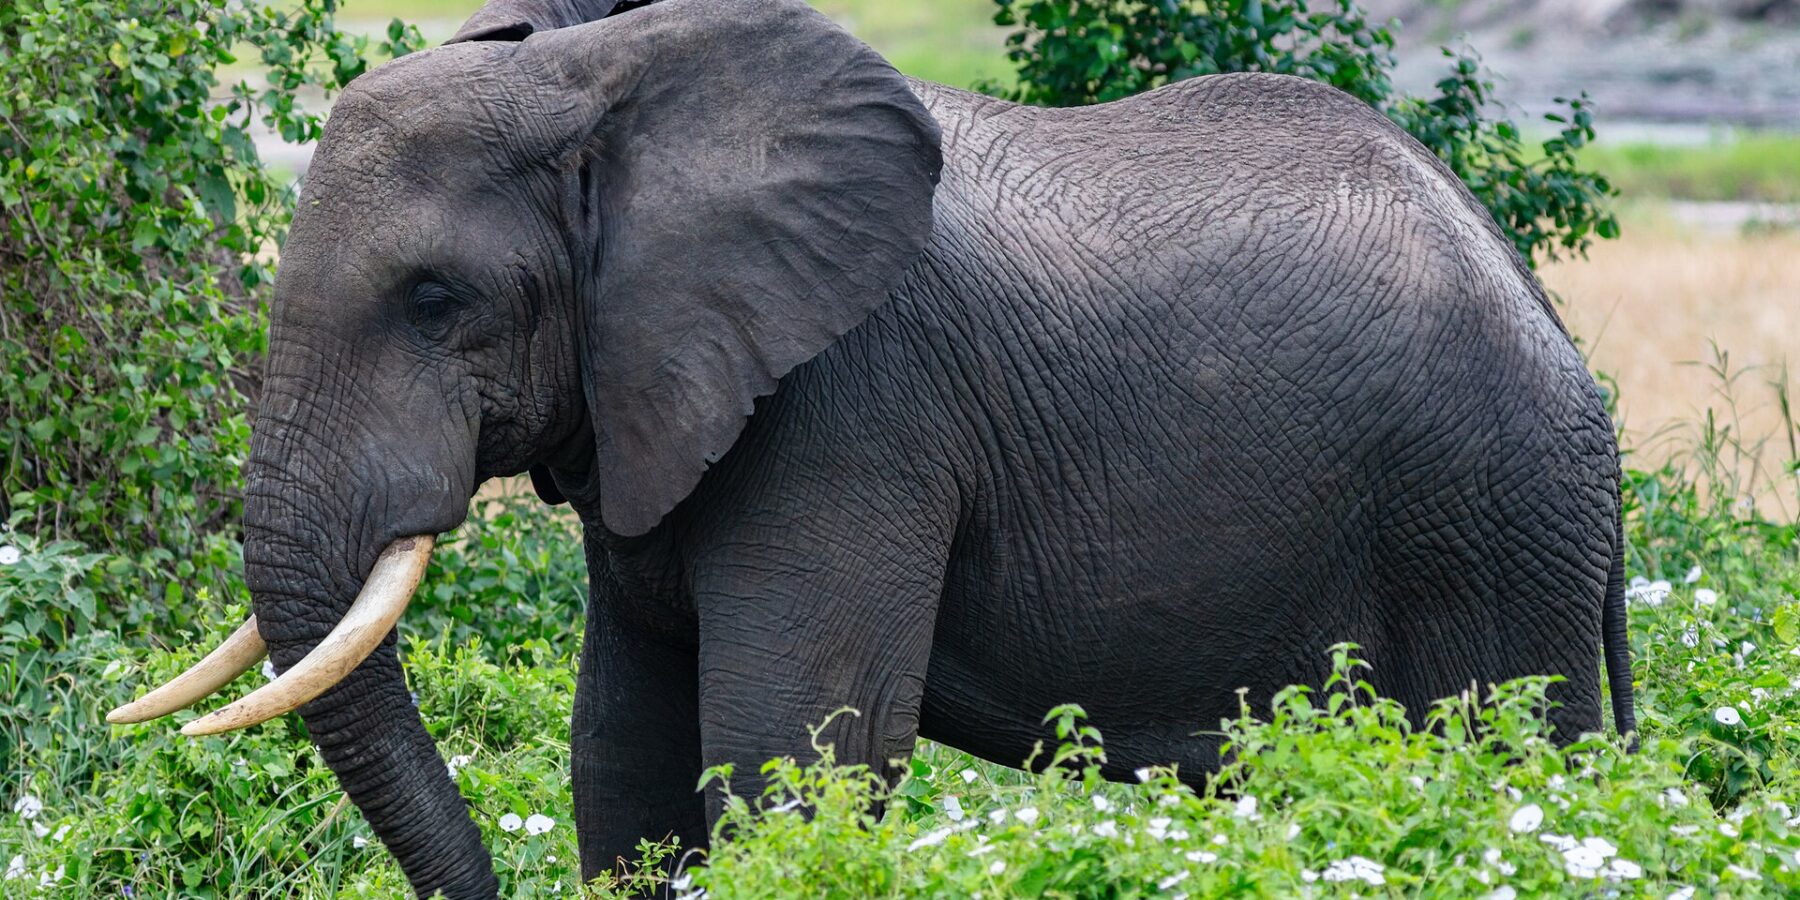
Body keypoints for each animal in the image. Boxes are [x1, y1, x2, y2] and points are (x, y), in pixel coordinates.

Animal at [108, 0, 1634, 896]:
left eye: (435, 301)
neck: (606, 74)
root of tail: (1563, 341)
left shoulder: (855, 411)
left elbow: (788, 754)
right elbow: (625, 756)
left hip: (1490, 521)